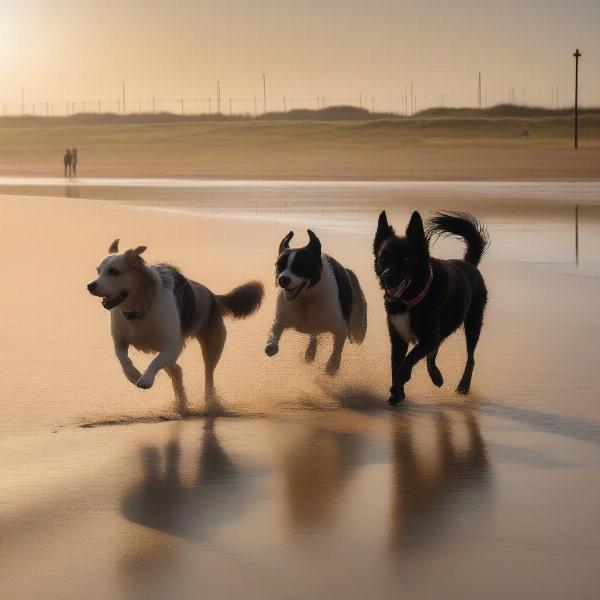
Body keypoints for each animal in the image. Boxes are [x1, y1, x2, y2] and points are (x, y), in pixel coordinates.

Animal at [87, 239, 262, 408]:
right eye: (98, 271)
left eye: (114, 271)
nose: (90, 286)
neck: (140, 309)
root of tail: (213, 296)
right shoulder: (120, 342)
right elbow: (123, 358)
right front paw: (134, 375)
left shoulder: (172, 345)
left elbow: (155, 361)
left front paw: (146, 379)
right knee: (176, 370)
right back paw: (181, 402)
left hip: (212, 346)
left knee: (208, 375)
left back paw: (209, 400)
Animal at [266, 230, 368, 376]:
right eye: (279, 264)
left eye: (300, 265)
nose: (282, 280)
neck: (307, 297)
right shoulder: (283, 317)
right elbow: (275, 329)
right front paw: (271, 345)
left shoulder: (340, 327)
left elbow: (338, 346)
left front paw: (332, 366)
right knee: (313, 336)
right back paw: (310, 353)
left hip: (358, 325)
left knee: (357, 334)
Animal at [372, 210, 490, 404]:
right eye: (383, 259)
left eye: (405, 259)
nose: (387, 277)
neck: (410, 300)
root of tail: (469, 264)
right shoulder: (398, 337)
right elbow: (396, 362)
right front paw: (398, 393)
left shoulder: (428, 337)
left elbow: (407, 360)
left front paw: (399, 383)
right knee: (433, 353)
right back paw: (436, 376)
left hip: (473, 322)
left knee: (470, 357)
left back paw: (463, 386)